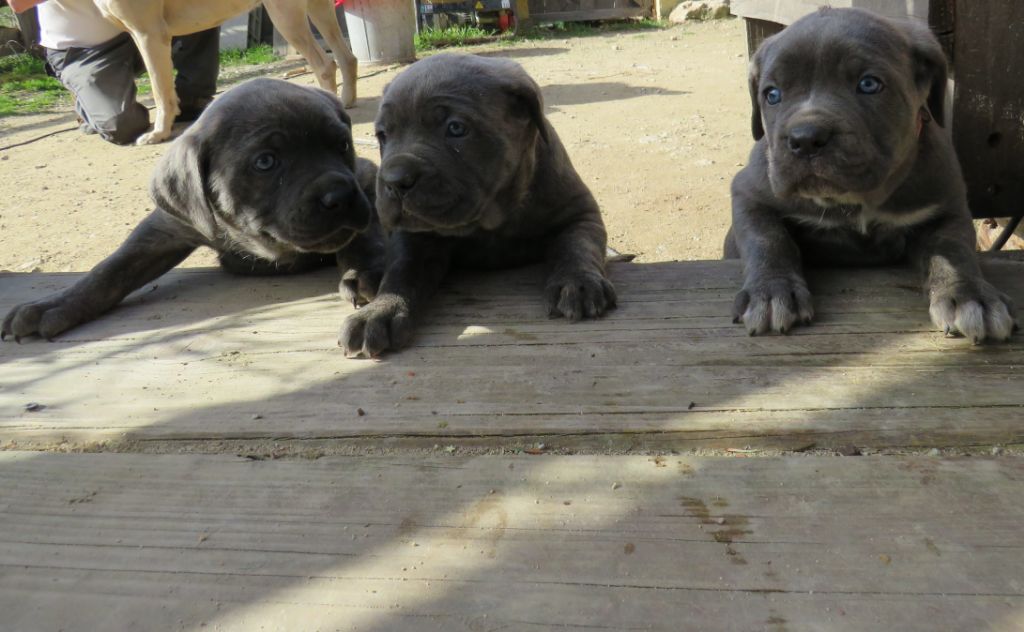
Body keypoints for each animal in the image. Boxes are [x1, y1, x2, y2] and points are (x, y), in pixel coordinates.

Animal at [3, 80, 385, 342]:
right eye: (265, 162)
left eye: (342, 144)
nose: (341, 196)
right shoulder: (167, 227)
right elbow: (109, 271)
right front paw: (53, 305)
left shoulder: (366, 181)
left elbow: (364, 236)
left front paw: (365, 271)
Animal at [93, 0, 356, 144]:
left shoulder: (149, 34)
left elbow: (161, 91)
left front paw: (158, 133)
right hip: (320, 10)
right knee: (347, 58)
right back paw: (346, 100)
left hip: (286, 16)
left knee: (325, 65)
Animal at [342, 53, 614, 356]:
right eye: (382, 135)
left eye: (456, 128)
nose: (394, 180)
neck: (492, 218)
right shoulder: (414, 236)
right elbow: (402, 270)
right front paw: (380, 312)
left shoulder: (579, 214)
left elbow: (577, 246)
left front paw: (578, 283)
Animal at [724, 7, 1019, 342]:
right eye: (772, 95)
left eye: (868, 84)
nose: (805, 138)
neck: (857, 200)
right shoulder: (749, 194)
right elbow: (767, 239)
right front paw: (772, 293)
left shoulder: (947, 209)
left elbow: (953, 251)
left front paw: (971, 296)